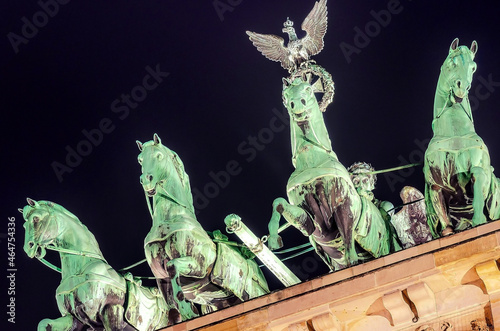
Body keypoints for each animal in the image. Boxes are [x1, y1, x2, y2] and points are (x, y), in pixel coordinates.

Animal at [21, 200, 169, 331]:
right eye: (24, 226)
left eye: (35, 218)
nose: (28, 248)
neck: (80, 269)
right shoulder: (74, 319)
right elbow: (44, 323)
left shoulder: (111, 310)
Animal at [136, 134, 270, 326]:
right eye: (140, 159)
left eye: (158, 156)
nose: (146, 179)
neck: (172, 217)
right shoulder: (161, 278)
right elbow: (170, 306)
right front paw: (178, 315)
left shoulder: (199, 265)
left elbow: (172, 266)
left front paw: (187, 309)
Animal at [268, 75, 400, 272]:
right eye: (285, 96)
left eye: (308, 89)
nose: (296, 104)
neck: (311, 160)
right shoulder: (312, 221)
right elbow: (279, 203)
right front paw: (273, 238)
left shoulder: (343, 204)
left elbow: (347, 237)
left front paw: (352, 261)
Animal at [424, 38, 498, 239]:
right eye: (452, 61)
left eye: (473, 67)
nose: (461, 87)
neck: (454, 132)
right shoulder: (435, 185)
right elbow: (445, 222)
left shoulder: (479, 169)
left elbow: (479, 190)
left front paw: (479, 220)